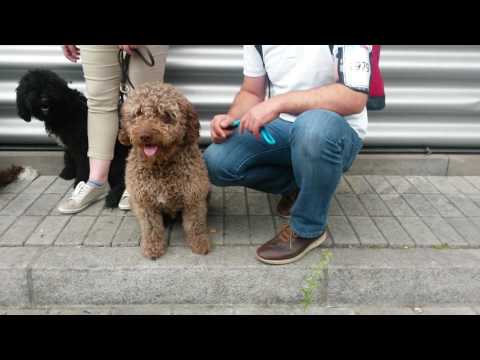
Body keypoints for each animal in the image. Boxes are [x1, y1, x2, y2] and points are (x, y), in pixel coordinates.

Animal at [15, 68, 129, 207]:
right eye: (31, 88)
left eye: (50, 84)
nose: (44, 98)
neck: (64, 112)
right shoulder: (69, 145)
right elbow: (68, 157)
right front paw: (68, 173)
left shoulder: (82, 146)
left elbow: (83, 165)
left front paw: (79, 181)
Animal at [118, 83, 210, 260]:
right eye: (138, 113)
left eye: (166, 115)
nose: (145, 135)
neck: (161, 165)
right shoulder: (145, 202)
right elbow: (151, 228)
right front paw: (153, 248)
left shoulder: (194, 198)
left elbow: (195, 224)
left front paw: (200, 243)